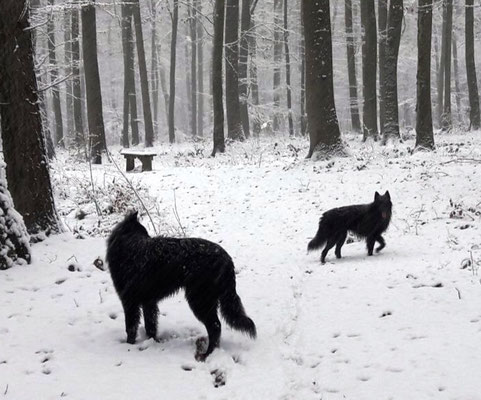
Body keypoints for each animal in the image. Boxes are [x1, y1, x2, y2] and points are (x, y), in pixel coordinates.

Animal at [105, 214, 255, 360]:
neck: (131, 247)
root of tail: (227, 259)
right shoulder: (149, 303)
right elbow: (150, 326)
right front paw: (152, 341)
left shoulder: (130, 303)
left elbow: (130, 327)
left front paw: (129, 345)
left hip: (199, 300)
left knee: (215, 326)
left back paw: (207, 354)